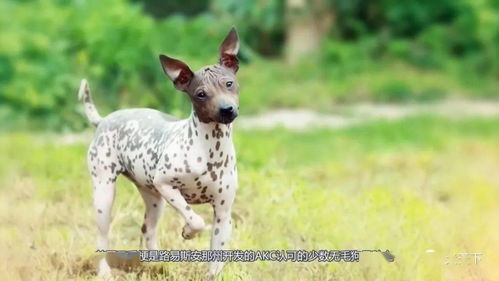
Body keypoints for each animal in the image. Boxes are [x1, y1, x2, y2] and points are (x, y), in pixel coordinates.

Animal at [77, 26, 240, 278]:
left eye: (229, 83)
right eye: (201, 94)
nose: (226, 109)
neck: (210, 149)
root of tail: (103, 120)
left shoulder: (223, 215)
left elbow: (216, 260)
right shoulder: (166, 185)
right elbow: (196, 220)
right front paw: (187, 231)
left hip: (154, 200)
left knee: (148, 230)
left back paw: (157, 266)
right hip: (105, 196)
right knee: (102, 239)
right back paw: (105, 272)